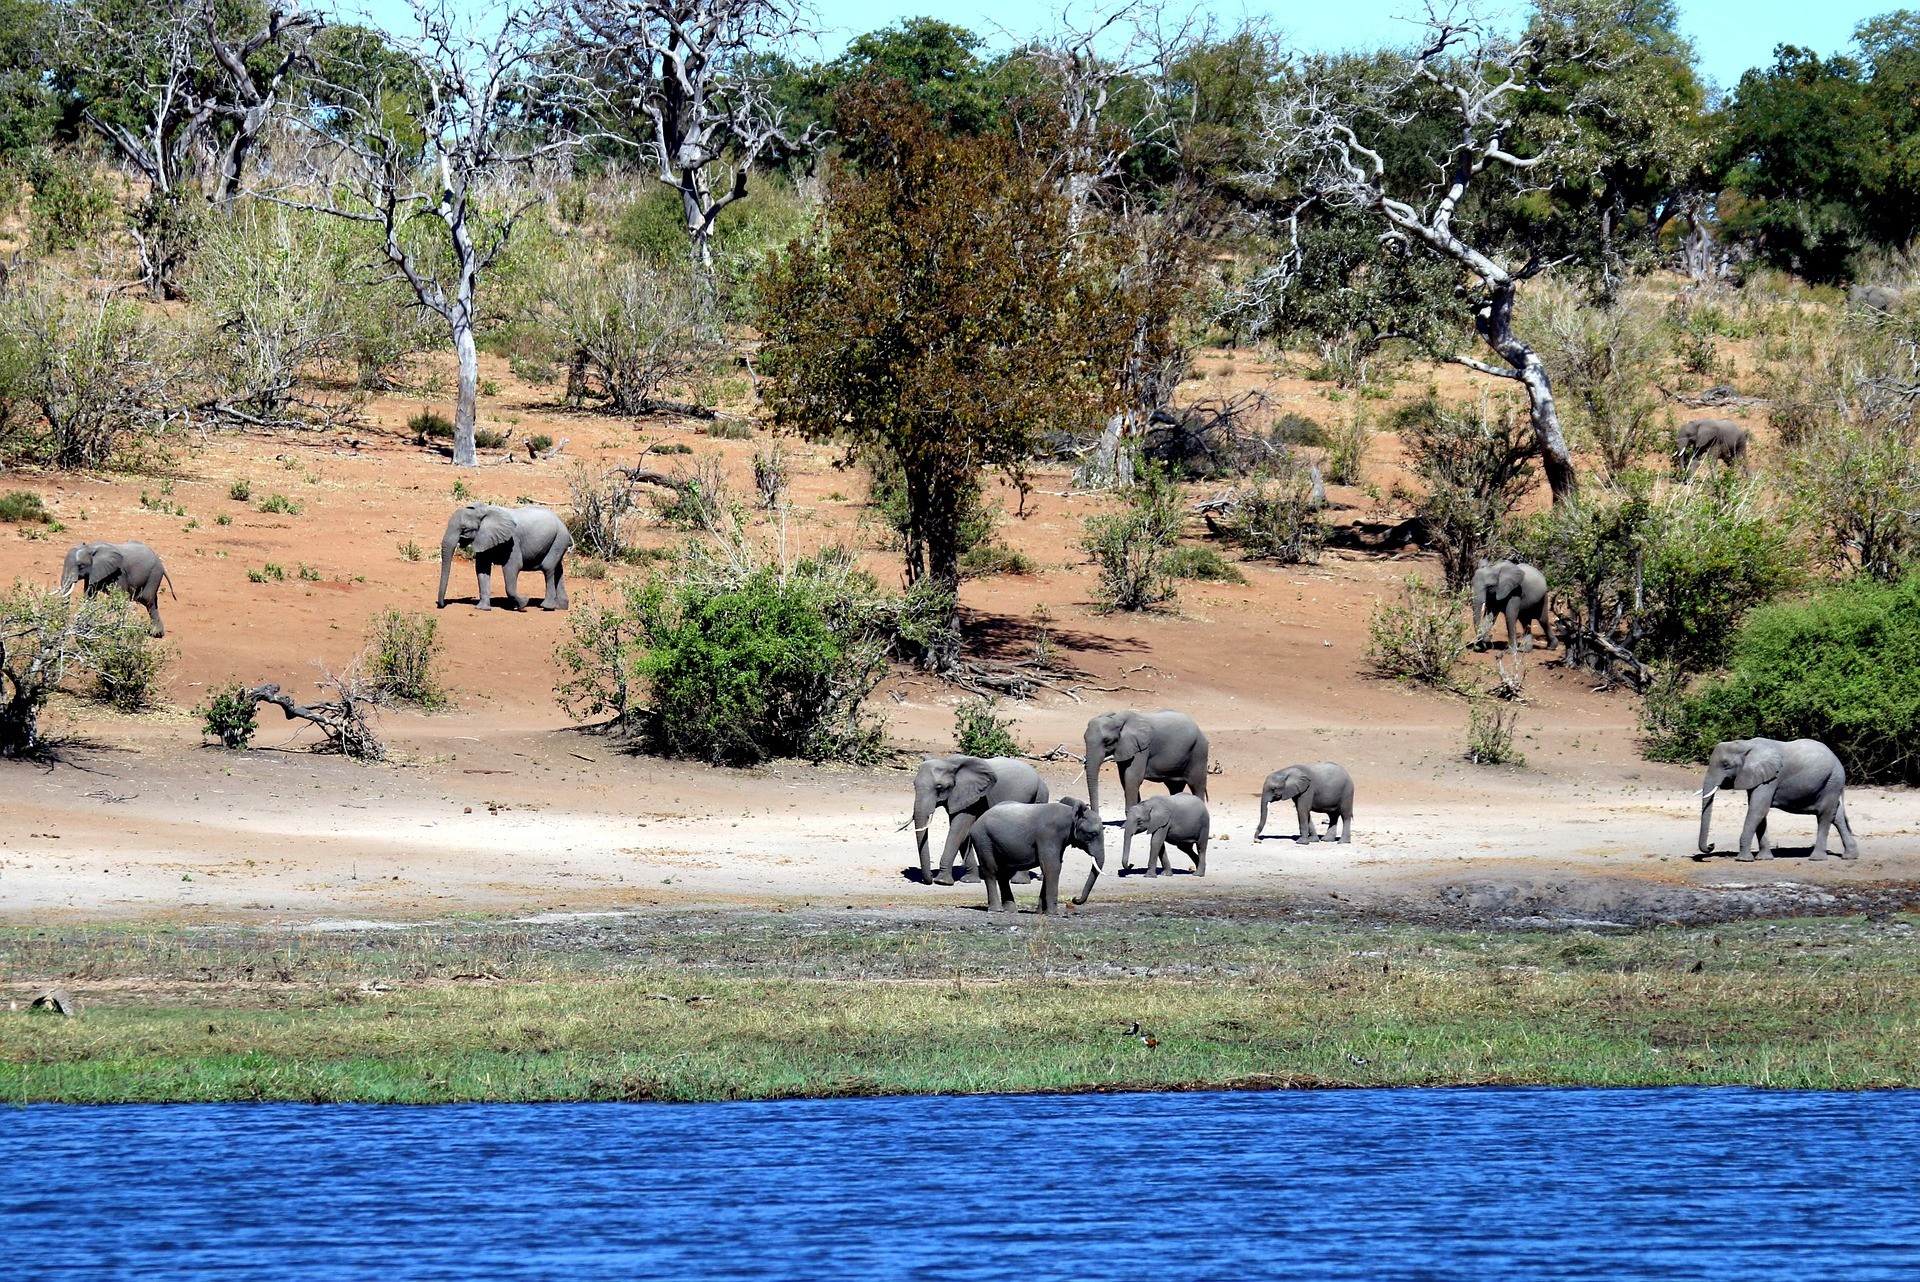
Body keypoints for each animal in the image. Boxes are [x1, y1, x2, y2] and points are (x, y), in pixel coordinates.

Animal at [439, 498, 572, 610]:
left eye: (464, 529)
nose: (442, 605)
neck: (483, 511)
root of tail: (564, 526)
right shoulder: (485, 538)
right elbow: (482, 569)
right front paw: (482, 608)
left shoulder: (512, 541)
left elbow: (512, 568)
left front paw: (523, 603)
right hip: (558, 542)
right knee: (558, 569)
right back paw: (561, 607)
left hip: (559, 539)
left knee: (548, 567)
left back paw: (547, 607)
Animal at [910, 756, 1052, 886]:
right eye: (914, 785)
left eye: (939, 787)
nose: (928, 879)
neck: (950, 762)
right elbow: (964, 832)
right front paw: (969, 880)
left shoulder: (972, 796)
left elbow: (958, 830)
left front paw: (942, 881)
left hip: (1038, 796)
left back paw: (1020, 881)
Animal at [960, 794, 1113, 917]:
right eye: (1092, 834)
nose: (1074, 899)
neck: (1071, 813)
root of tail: (977, 821)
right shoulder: (1049, 835)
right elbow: (1052, 867)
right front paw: (1053, 913)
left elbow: (1049, 866)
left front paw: (1041, 912)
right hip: (983, 839)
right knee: (991, 871)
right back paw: (997, 910)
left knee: (1002, 874)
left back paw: (1010, 910)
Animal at [1697, 740, 1858, 859]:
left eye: (1726, 765)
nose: (1712, 845)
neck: (1746, 744)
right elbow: (1759, 813)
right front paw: (1763, 859)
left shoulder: (1771, 778)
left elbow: (1757, 809)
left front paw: (1743, 859)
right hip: (1831, 783)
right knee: (1836, 815)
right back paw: (1850, 856)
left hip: (1833, 780)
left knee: (1825, 814)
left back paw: (1816, 858)